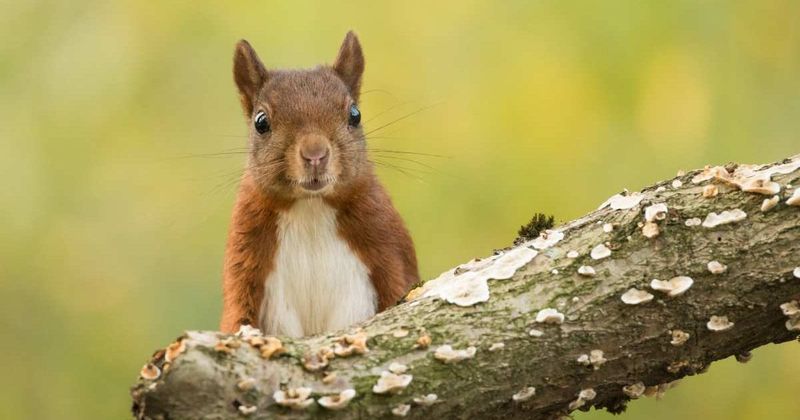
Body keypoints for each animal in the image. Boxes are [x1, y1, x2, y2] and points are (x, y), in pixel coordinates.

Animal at [220, 31, 419, 337]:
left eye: (355, 115)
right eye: (260, 122)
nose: (315, 154)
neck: (311, 207)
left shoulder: (388, 242)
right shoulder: (244, 257)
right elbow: (237, 312)